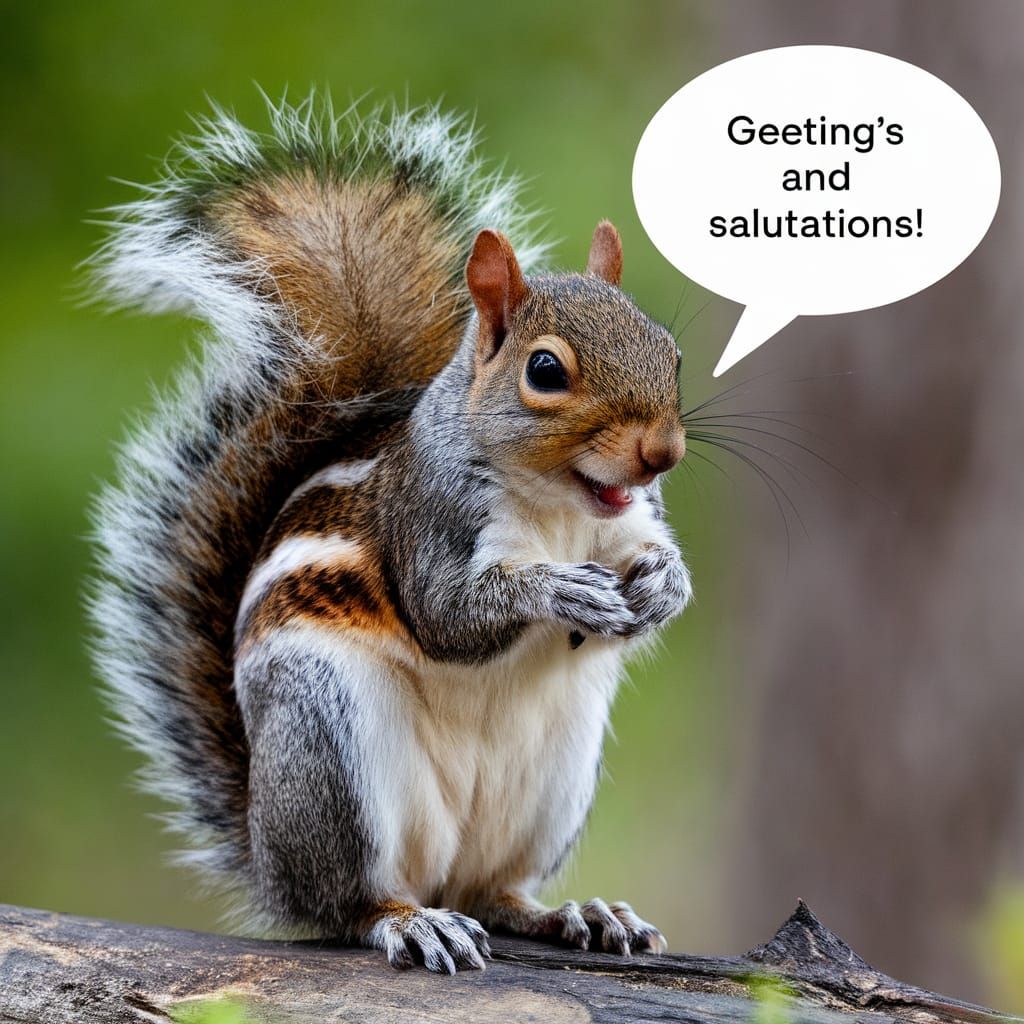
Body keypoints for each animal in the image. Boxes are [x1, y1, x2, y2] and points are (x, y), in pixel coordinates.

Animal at [88, 95, 692, 974]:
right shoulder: (428, 522)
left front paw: (662, 587)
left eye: (670, 353)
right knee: (350, 902)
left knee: (495, 892)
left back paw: (572, 911)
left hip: (557, 774)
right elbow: (445, 617)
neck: (562, 510)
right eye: (546, 371)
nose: (663, 452)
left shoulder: (637, 516)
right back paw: (410, 921)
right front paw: (559, 590)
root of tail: (268, 858)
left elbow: (651, 566)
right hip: (328, 743)